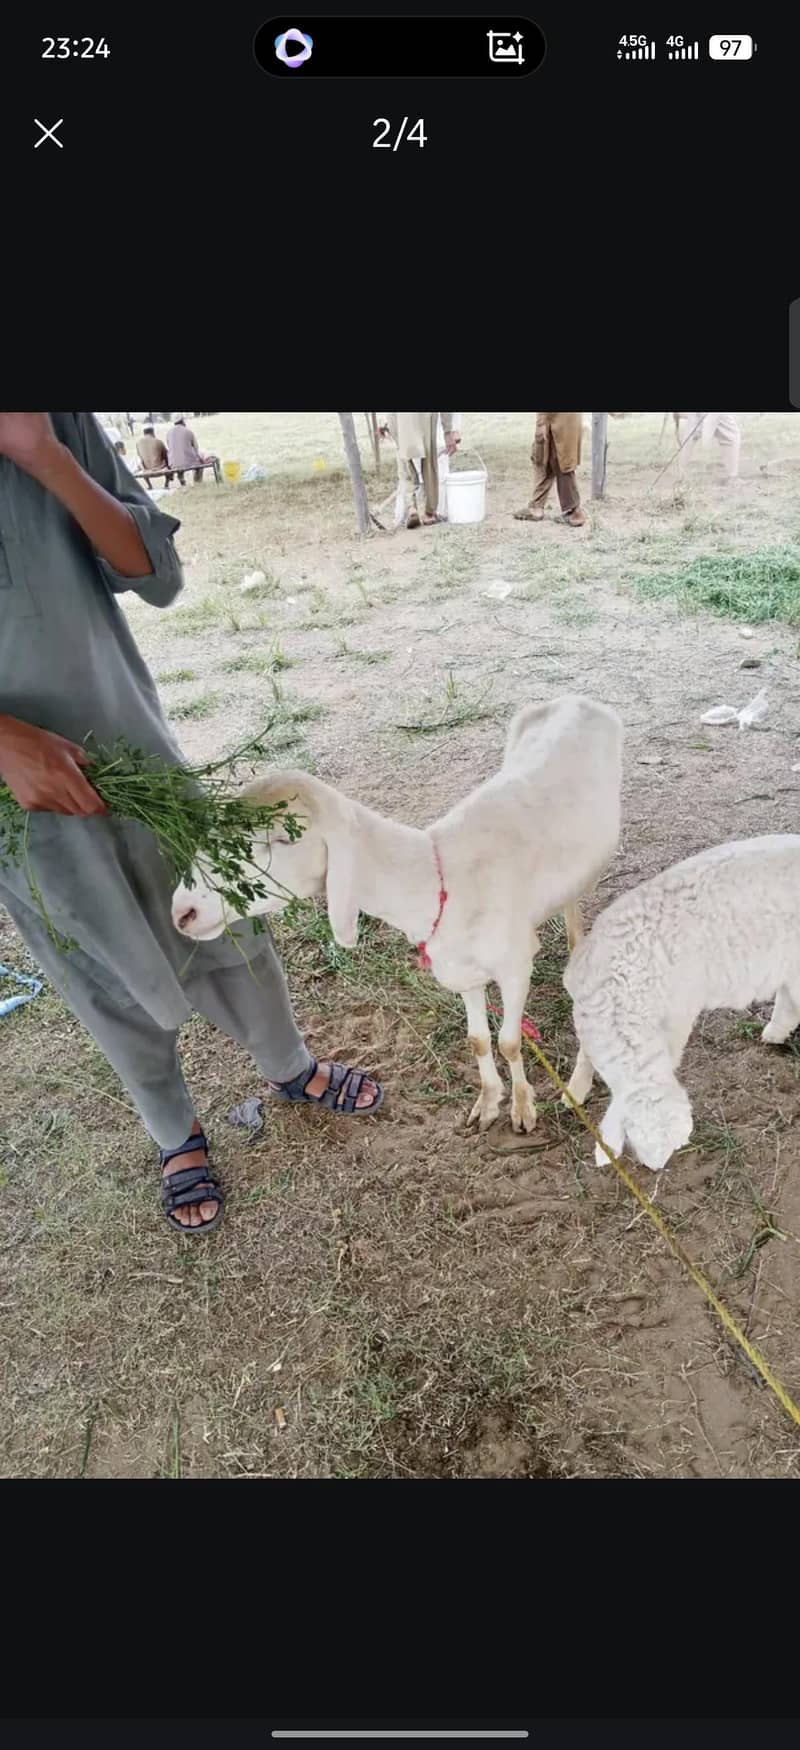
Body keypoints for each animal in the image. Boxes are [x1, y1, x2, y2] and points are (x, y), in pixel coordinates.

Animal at [172, 694, 623, 1134]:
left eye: (283, 839)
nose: (183, 911)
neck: (437, 880)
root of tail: (576, 698)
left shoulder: (515, 965)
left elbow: (509, 1042)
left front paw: (523, 1109)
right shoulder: (462, 970)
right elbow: (478, 1040)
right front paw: (488, 1102)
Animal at [562, 834, 800, 1173]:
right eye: (634, 1141)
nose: (658, 1168)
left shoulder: (677, 1014)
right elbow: (585, 1054)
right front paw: (575, 1090)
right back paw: (774, 1033)